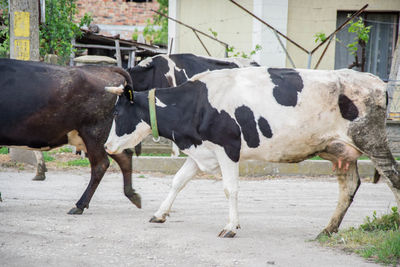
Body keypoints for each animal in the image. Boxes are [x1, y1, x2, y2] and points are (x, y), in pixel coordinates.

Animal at [104, 67, 400, 239]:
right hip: (341, 151)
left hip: (372, 140)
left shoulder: (228, 148)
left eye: (116, 113)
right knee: (348, 186)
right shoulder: (202, 151)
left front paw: (230, 227)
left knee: (393, 178)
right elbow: (178, 181)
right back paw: (328, 229)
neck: (197, 103)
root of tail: (373, 79)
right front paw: (160, 214)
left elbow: (230, 189)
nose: (106, 147)